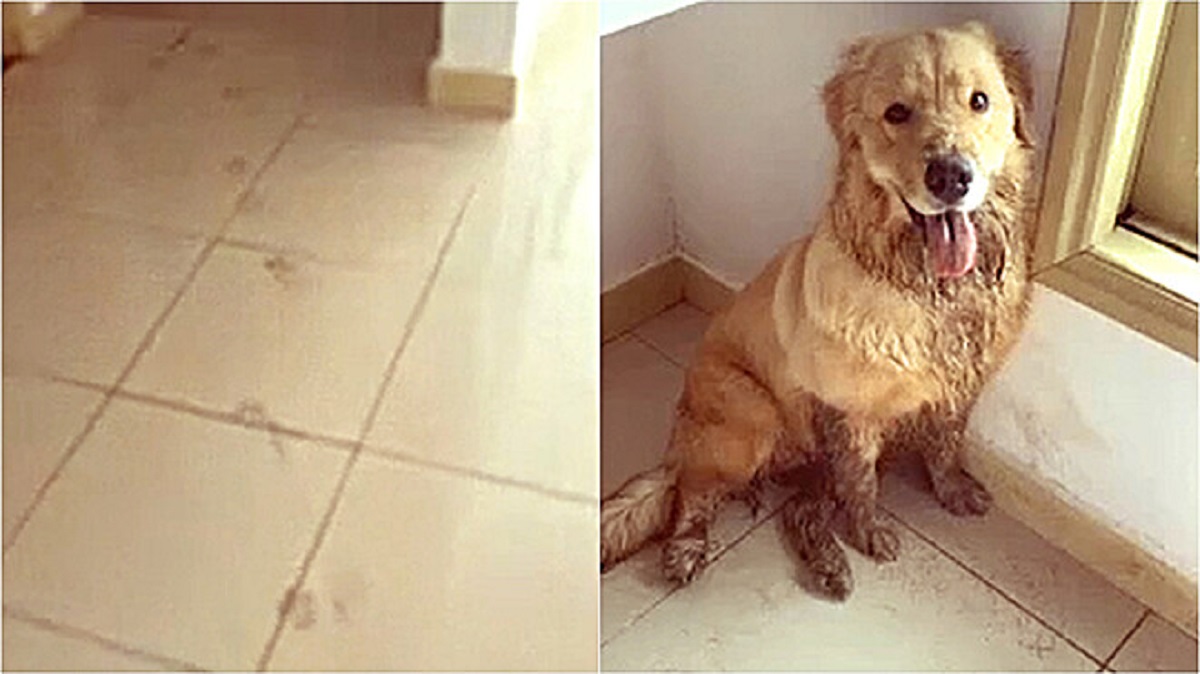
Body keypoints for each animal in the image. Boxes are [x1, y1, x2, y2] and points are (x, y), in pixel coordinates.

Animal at [604, 22, 1036, 597]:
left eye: (980, 101)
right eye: (897, 112)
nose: (951, 177)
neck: (925, 287)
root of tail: (679, 443)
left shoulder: (957, 388)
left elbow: (944, 445)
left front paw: (952, 490)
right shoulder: (848, 411)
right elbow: (862, 483)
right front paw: (870, 530)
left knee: (798, 511)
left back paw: (828, 564)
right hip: (750, 421)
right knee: (691, 492)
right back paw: (688, 548)